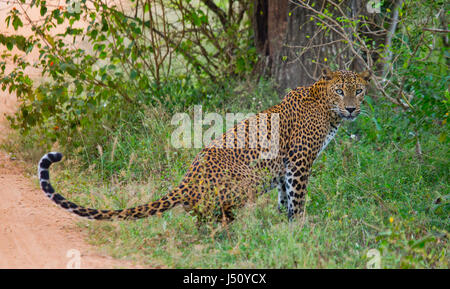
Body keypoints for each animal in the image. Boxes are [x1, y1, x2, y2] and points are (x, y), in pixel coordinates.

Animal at [37, 68, 370, 223]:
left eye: (359, 90)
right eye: (340, 91)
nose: (352, 109)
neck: (326, 107)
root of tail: (188, 180)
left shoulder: (284, 166)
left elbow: (283, 195)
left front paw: (282, 223)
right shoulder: (300, 161)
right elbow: (297, 197)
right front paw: (299, 225)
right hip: (248, 179)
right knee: (212, 214)